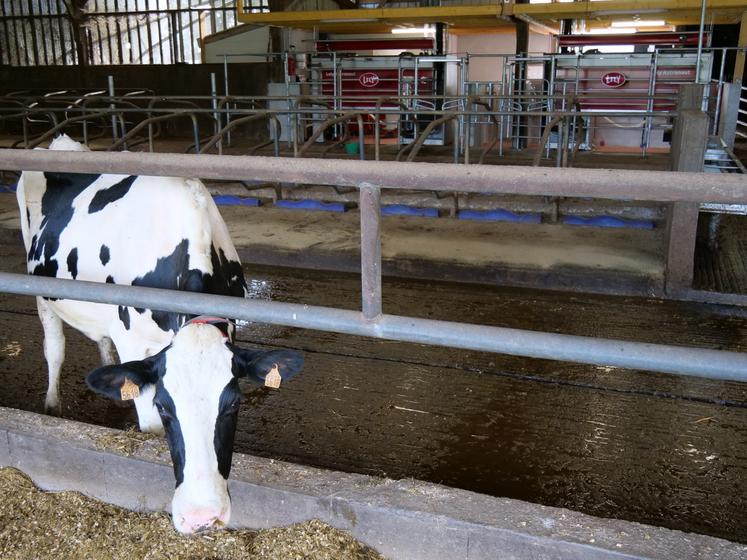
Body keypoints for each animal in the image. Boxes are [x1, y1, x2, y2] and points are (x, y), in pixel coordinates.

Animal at [16, 136, 304, 532]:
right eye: (165, 407)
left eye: (234, 403)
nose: (202, 516)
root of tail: (58, 144)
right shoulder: (133, 341)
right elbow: (147, 421)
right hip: (40, 288)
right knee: (54, 347)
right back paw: (52, 404)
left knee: (101, 341)